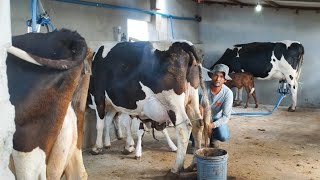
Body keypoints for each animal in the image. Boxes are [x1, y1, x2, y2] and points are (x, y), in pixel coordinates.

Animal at [89, 40, 211, 174]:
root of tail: (181, 43)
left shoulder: (98, 96)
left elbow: (100, 124)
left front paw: (97, 147)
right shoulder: (122, 104)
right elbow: (121, 123)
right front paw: (127, 146)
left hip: (172, 102)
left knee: (184, 127)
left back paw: (176, 168)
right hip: (192, 99)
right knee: (197, 124)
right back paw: (194, 163)